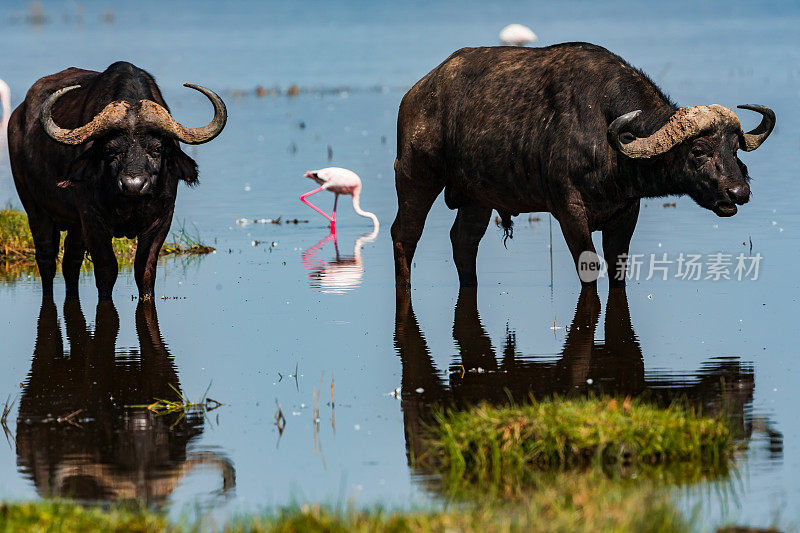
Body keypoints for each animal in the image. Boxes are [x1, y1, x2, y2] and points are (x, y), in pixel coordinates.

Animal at [8, 62, 228, 300]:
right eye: (110, 150)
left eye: (157, 148)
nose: (134, 185)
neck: (129, 203)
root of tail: (17, 117)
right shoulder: (92, 218)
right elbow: (107, 269)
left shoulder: (162, 218)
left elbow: (145, 270)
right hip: (34, 208)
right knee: (47, 258)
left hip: (75, 225)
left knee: (71, 261)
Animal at [392, 43, 776, 288]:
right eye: (698, 150)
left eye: (734, 150)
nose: (738, 192)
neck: (610, 143)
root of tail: (416, 94)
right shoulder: (570, 212)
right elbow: (588, 270)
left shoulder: (626, 213)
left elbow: (618, 270)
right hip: (415, 176)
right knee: (404, 235)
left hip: (477, 197)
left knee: (464, 240)